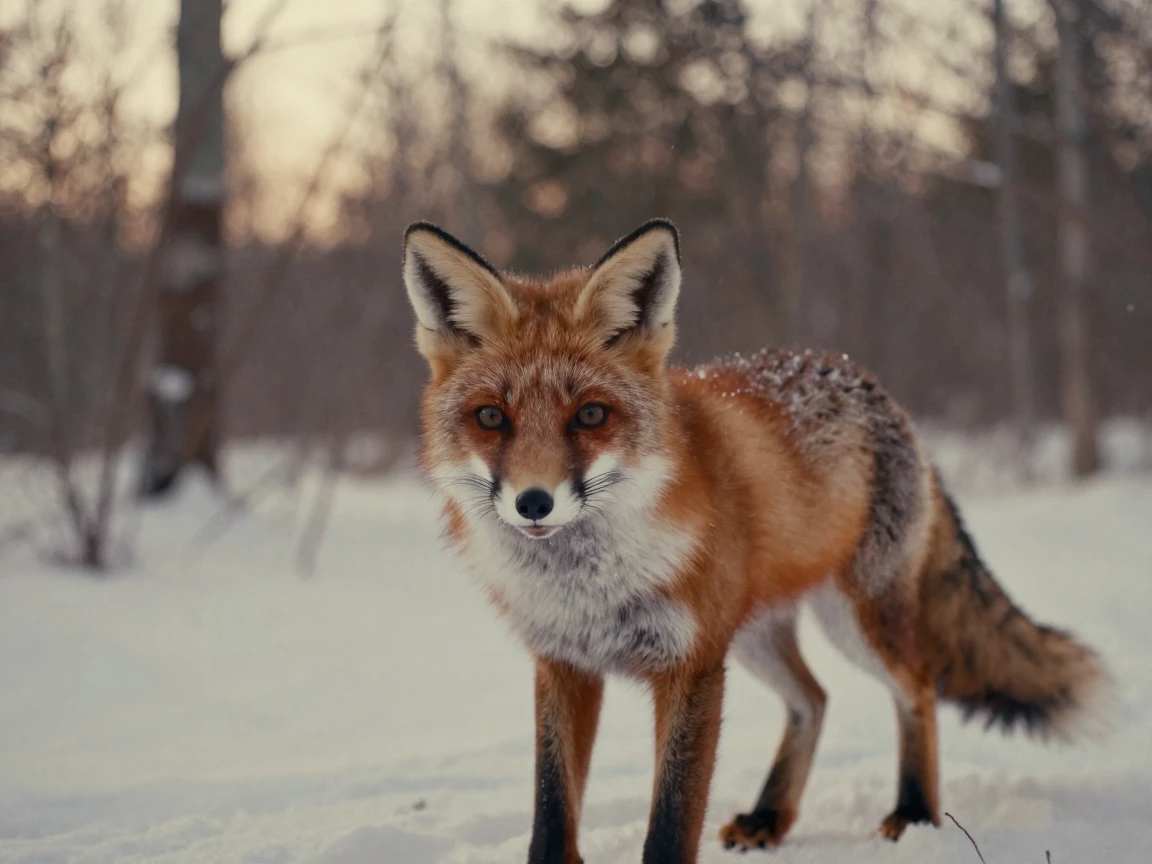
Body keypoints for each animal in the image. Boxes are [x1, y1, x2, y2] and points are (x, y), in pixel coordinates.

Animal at [401, 218, 1112, 864]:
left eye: (592, 415)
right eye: (491, 417)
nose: (534, 502)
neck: (588, 587)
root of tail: (871, 385)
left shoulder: (691, 667)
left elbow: (671, 824)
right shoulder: (563, 663)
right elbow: (552, 814)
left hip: (853, 622)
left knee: (917, 687)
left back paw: (913, 814)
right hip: (752, 635)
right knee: (814, 699)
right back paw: (771, 817)